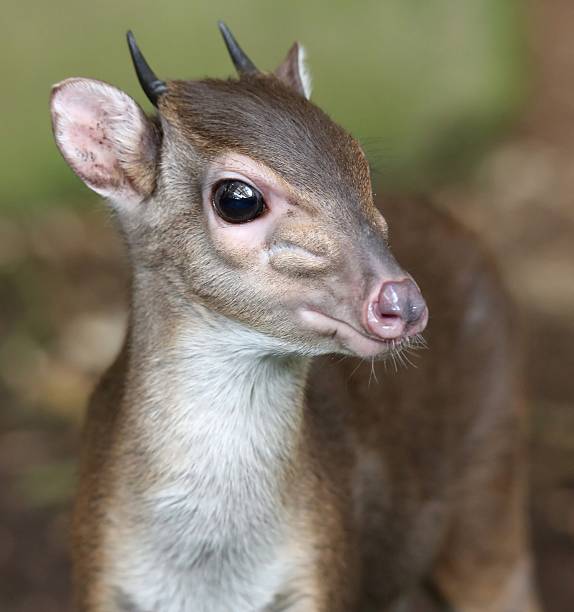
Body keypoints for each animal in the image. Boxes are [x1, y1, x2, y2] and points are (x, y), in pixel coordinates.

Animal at [50, 21, 544, 608]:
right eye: (237, 198)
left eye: (359, 163)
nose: (401, 303)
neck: (208, 580)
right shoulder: (96, 576)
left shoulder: (326, 571)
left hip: (493, 470)